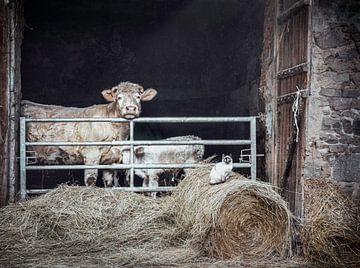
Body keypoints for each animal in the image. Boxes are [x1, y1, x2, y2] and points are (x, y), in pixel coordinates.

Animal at [21, 81, 157, 186]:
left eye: (138, 97)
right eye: (119, 97)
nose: (131, 108)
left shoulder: (110, 159)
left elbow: (108, 181)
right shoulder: (91, 154)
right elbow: (90, 180)